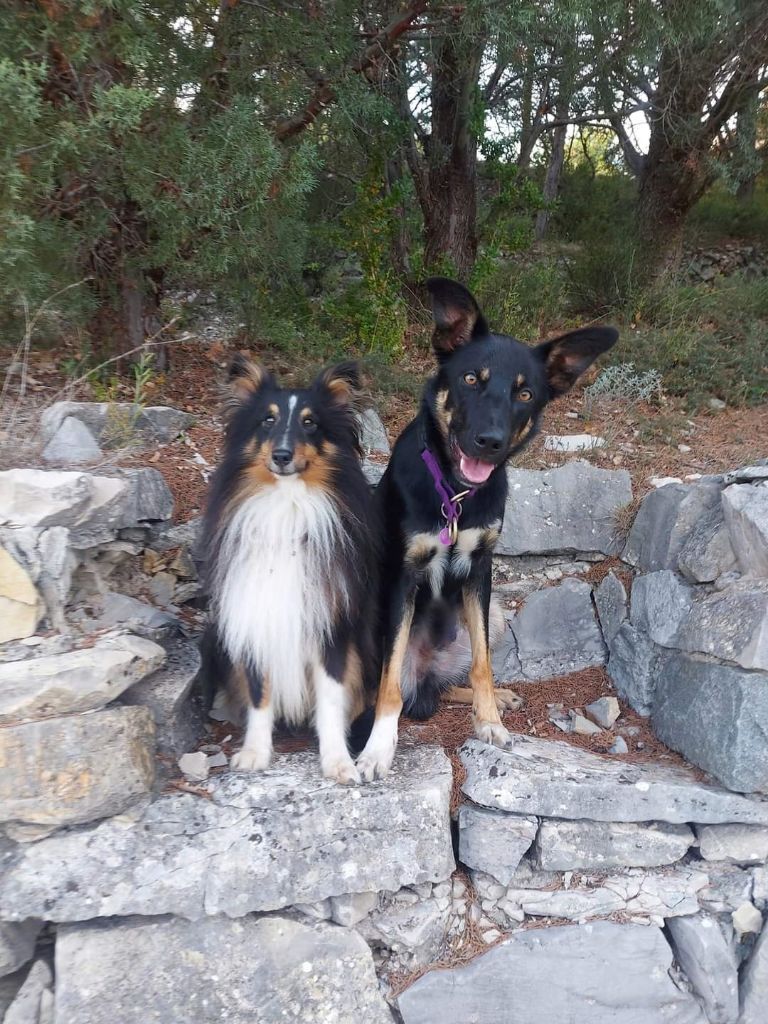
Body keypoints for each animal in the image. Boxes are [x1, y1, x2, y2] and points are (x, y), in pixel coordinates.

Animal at [198, 354, 378, 782]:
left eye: (310, 423)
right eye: (268, 419)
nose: (281, 455)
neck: (287, 506)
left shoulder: (332, 628)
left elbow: (331, 698)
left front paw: (338, 761)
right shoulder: (255, 616)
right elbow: (259, 694)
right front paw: (254, 753)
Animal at [356, 276, 618, 778]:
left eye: (525, 394)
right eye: (471, 379)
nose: (489, 442)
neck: (455, 495)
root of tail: (425, 674)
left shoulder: (481, 570)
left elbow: (482, 666)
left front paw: (490, 720)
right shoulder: (403, 576)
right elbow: (387, 686)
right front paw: (378, 750)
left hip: (493, 613)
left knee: (446, 686)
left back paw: (500, 696)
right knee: (393, 687)